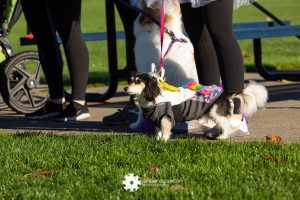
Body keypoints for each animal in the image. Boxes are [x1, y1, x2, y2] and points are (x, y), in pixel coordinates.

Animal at [124, 68, 268, 141]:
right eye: (130, 81)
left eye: (138, 81)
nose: (125, 88)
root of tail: (224, 93)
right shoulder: (158, 118)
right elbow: (158, 130)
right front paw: (157, 139)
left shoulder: (165, 116)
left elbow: (165, 130)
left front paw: (163, 140)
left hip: (215, 112)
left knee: (226, 124)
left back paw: (222, 136)